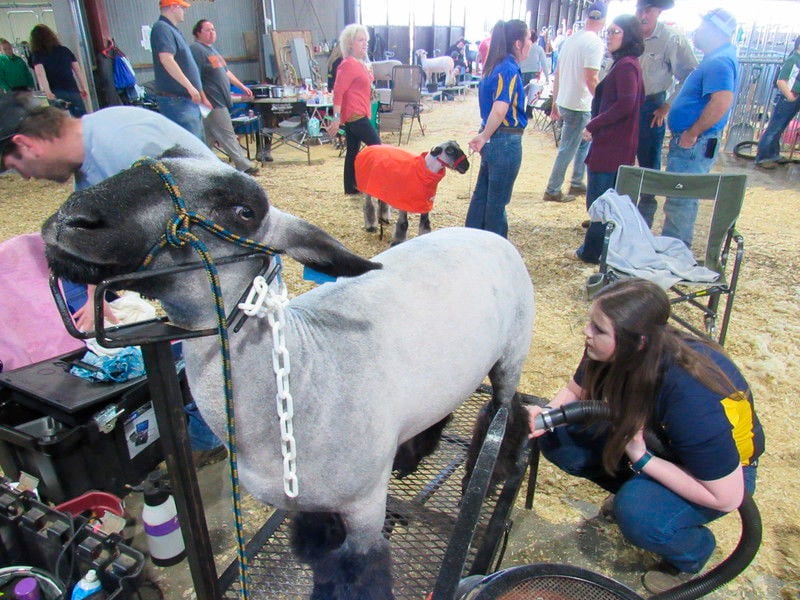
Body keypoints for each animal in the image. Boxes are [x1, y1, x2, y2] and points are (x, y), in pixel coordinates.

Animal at [40, 149, 536, 596]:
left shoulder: (364, 509)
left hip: (512, 352)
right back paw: (413, 454)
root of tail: (485, 233)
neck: (304, 371)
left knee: (506, 411)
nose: (72, 220)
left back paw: (485, 473)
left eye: (244, 212)